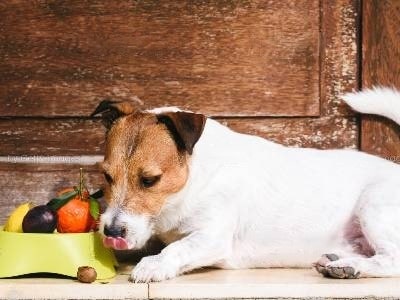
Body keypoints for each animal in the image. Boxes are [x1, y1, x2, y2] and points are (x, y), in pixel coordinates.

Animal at [90, 86, 400, 282]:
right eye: (107, 176)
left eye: (150, 180)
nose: (112, 231)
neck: (194, 178)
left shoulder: (212, 237)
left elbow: (177, 248)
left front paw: (154, 264)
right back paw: (337, 262)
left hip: (374, 207)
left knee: (392, 259)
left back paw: (350, 266)